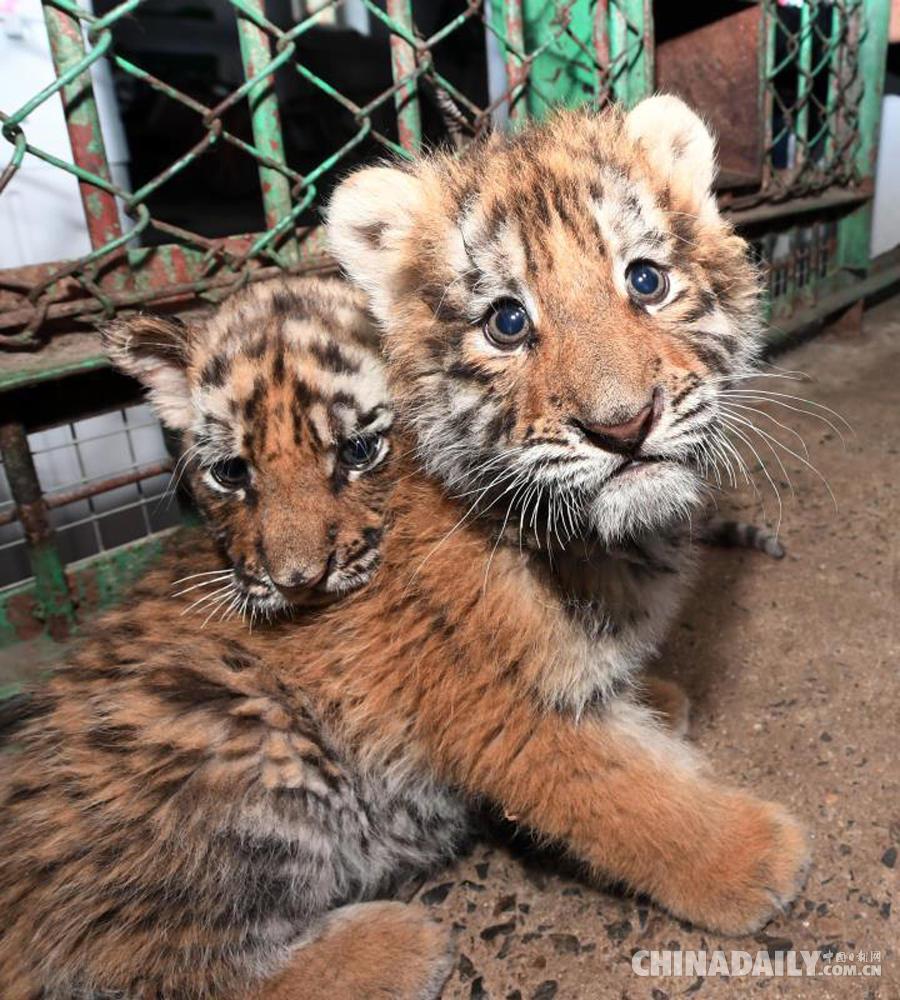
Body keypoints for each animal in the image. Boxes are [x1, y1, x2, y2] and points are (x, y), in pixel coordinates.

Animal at [0, 98, 808, 1000]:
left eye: (646, 281)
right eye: (506, 322)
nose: (623, 425)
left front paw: (657, 701)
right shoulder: (501, 708)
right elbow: (626, 792)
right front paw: (752, 857)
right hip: (241, 733)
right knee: (143, 957)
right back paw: (399, 945)